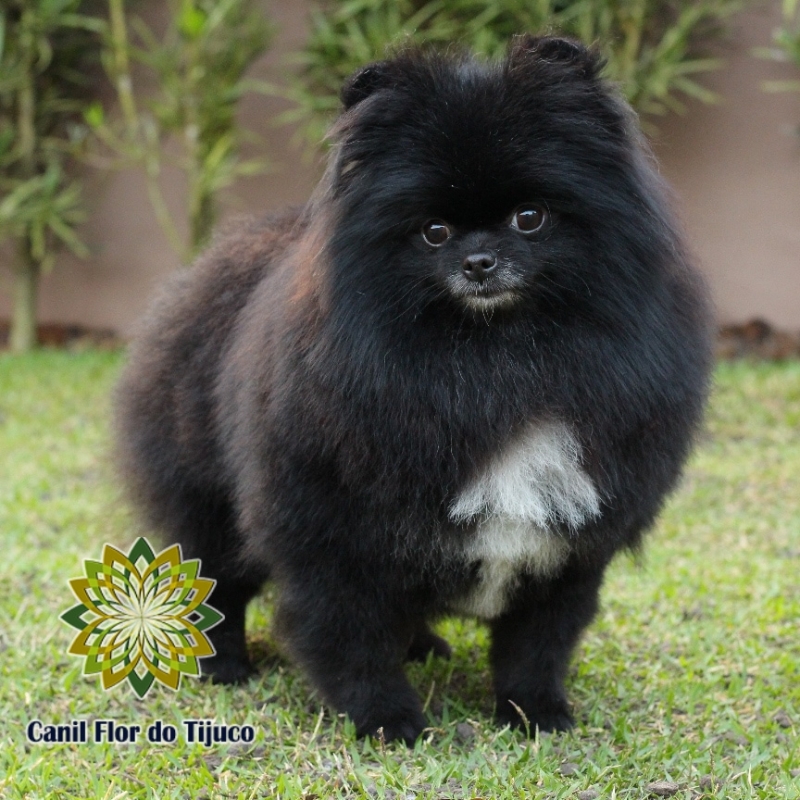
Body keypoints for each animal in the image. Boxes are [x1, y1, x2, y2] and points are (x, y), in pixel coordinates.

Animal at [114, 36, 712, 744]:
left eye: (530, 217)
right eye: (433, 231)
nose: (479, 261)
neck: (495, 360)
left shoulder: (568, 548)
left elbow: (537, 644)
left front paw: (535, 715)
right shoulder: (333, 537)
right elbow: (351, 641)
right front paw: (389, 723)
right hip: (205, 502)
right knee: (218, 590)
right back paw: (225, 668)